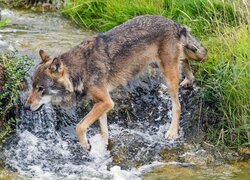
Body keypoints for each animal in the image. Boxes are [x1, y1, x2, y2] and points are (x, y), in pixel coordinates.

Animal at [25, 15, 208, 150]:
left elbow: (79, 126)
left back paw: (172, 132)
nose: (26, 107)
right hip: (159, 65)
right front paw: (102, 144)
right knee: (185, 61)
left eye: (41, 89)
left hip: (167, 77)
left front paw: (86, 145)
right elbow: (103, 129)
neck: (80, 70)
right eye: (32, 87)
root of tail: (175, 24)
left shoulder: (106, 102)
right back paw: (188, 80)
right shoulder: (101, 103)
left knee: (177, 106)